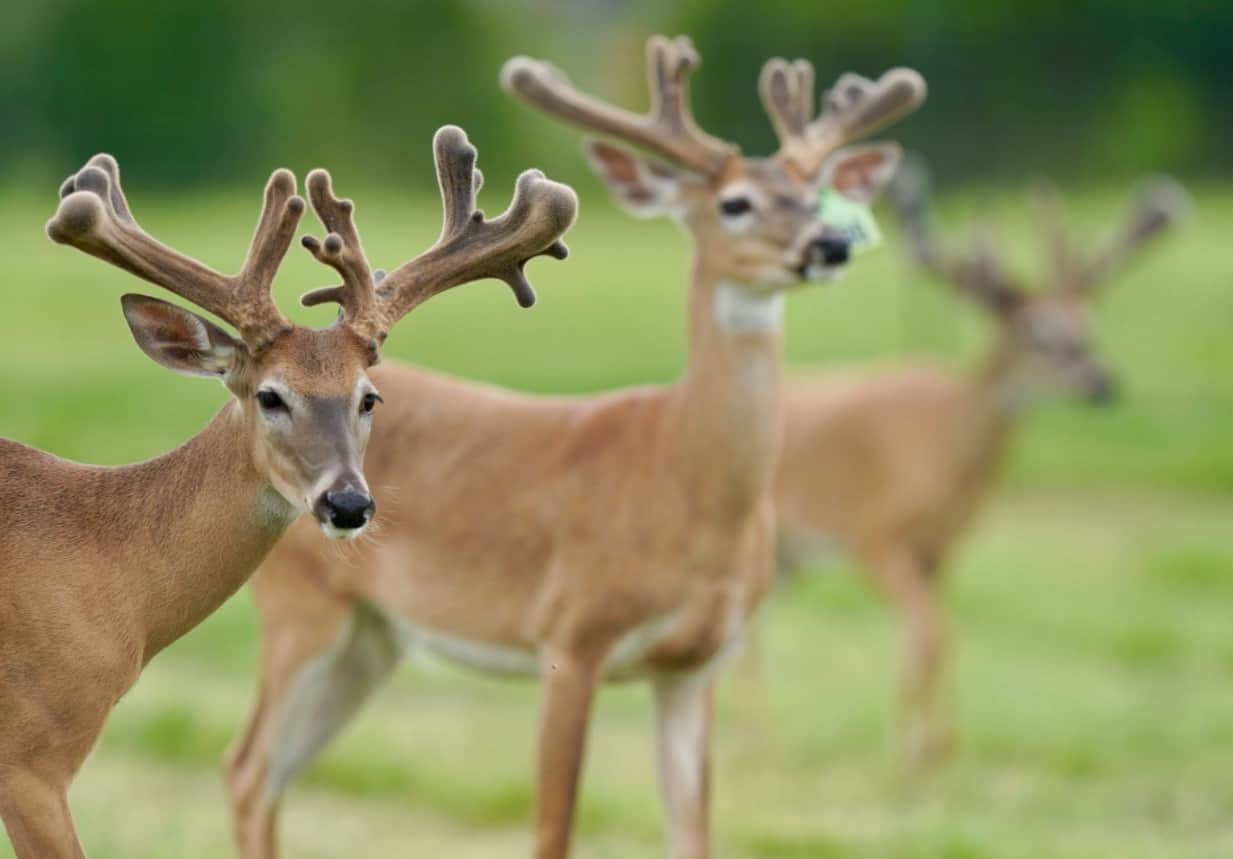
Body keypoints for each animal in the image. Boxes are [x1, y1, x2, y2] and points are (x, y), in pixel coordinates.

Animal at [222, 34, 926, 859]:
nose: (830, 243)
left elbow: (692, 830)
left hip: (372, 635)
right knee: (246, 766)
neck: (687, 484)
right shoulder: (570, 632)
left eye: (816, 198)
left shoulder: (696, 663)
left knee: (268, 775)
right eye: (735, 203)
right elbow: (552, 828)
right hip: (301, 607)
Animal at [773, 164, 1188, 764]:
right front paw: (911, 750)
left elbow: (940, 634)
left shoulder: (940, 550)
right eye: (1040, 334)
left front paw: (939, 745)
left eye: (1089, 327)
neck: (947, 449)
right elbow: (930, 635)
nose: (1104, 384)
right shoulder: (874, 536)